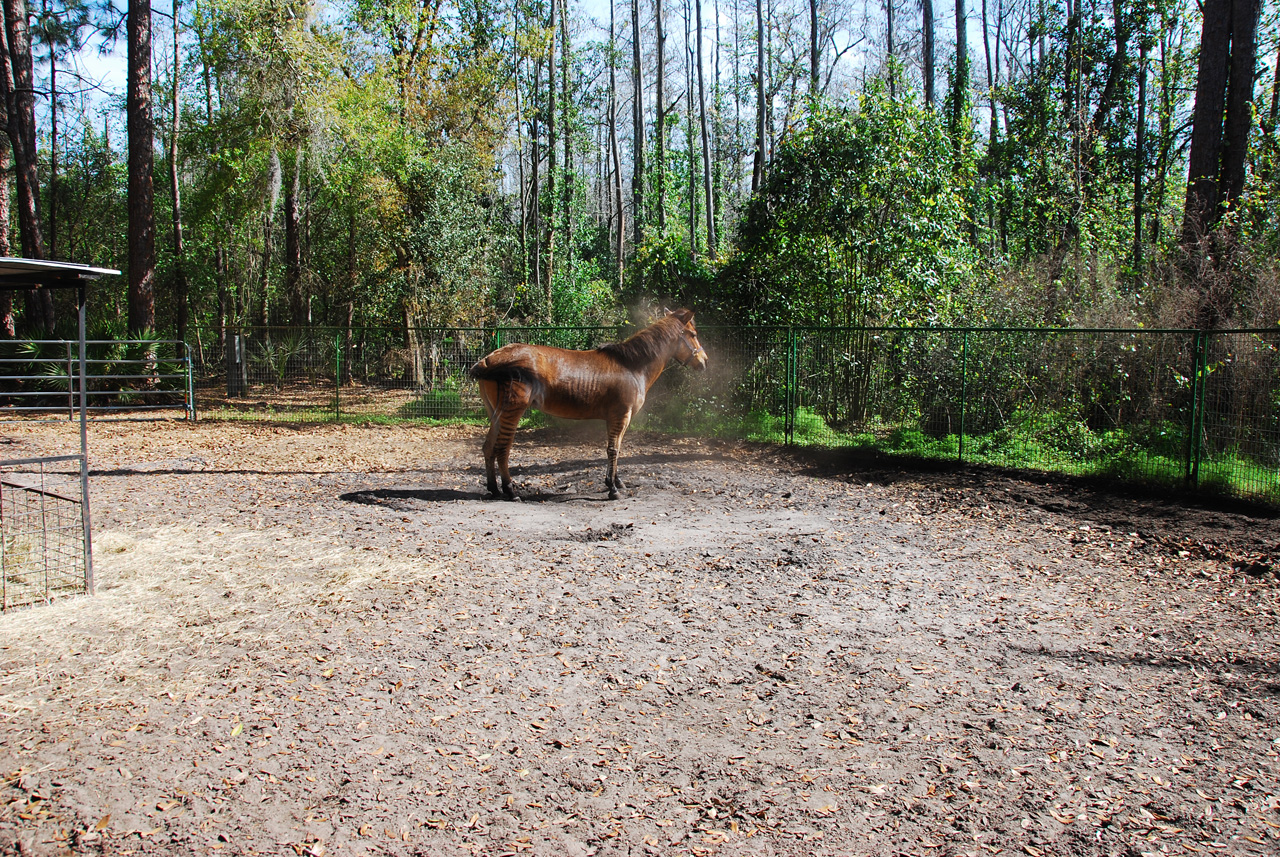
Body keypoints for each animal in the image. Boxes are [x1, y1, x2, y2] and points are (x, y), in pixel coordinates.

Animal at [471, 309, 711, 501]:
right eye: (693, 335)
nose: (704, 362)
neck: (632, 366)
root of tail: (489, 359)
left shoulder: (618, 418)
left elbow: (617, 447)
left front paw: (616, 481)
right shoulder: (620, 415)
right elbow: (613, 449)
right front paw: (613, 489)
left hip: (496, 413)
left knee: (488, 447)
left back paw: (494, 489)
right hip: (512, 411)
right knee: (502, 449)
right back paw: (510, 491)